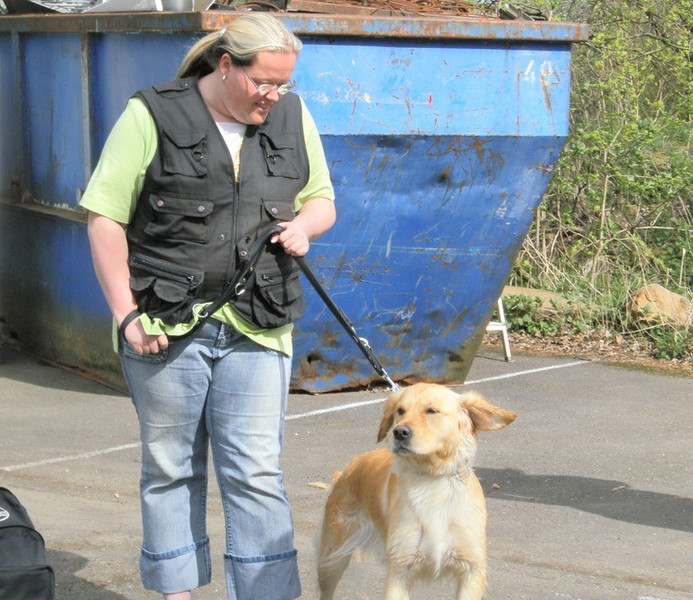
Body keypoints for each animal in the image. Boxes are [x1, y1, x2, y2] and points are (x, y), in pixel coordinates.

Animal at [316, 382, 517, 600]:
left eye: (431, 411)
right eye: (400, 411)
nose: (399, 432)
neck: (432, 479)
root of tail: (345, 471)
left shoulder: (471, 568)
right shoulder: (400, 569)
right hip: (331, 559)